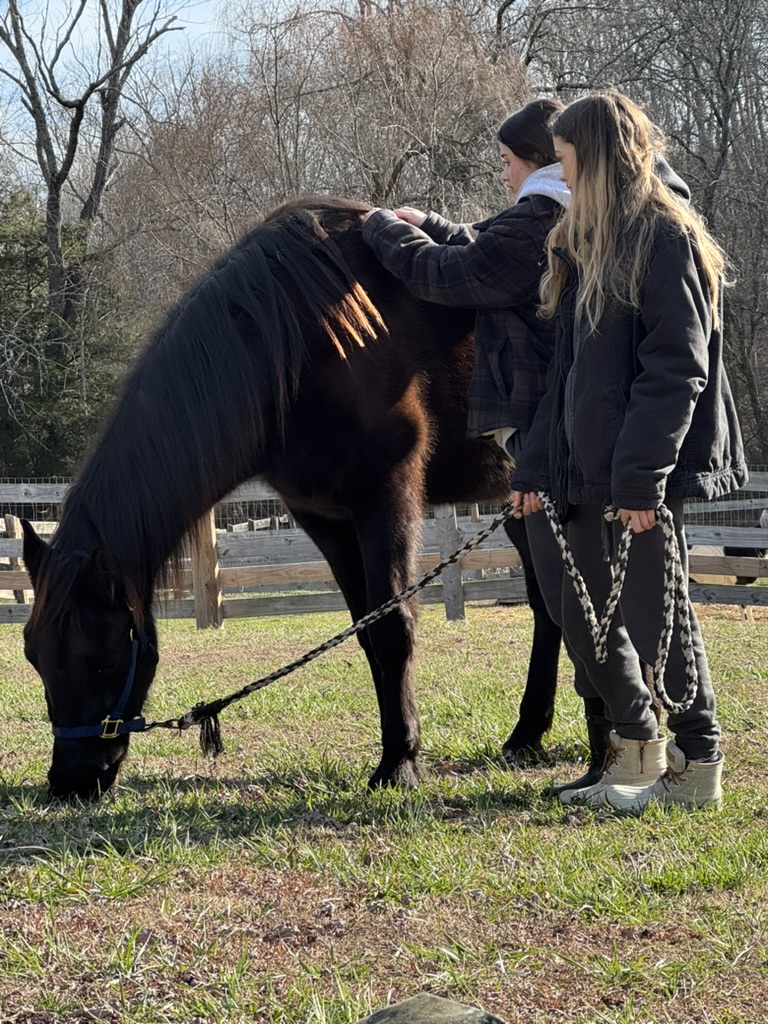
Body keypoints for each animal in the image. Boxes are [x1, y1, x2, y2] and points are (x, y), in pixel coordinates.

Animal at [21, 197, 562, 800]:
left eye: (105, 658)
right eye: (32, 655)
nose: (70, 780)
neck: (301, 342)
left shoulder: (387, 499)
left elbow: (394, 627)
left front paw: (400, 763)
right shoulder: (324, 517)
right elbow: (367, 633)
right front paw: (396, 750)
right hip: (520, 507)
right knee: (548, 606)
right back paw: (527, 734)